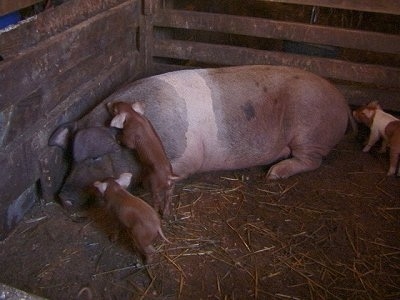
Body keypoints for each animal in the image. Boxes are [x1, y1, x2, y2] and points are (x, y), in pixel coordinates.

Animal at [50, 64, 354, 207]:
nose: (62, 198)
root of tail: (343, 101)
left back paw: (273, 174)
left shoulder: (184, 159)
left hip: (309, 133)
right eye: (70, 157)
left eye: (97, 156)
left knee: (312, 160)